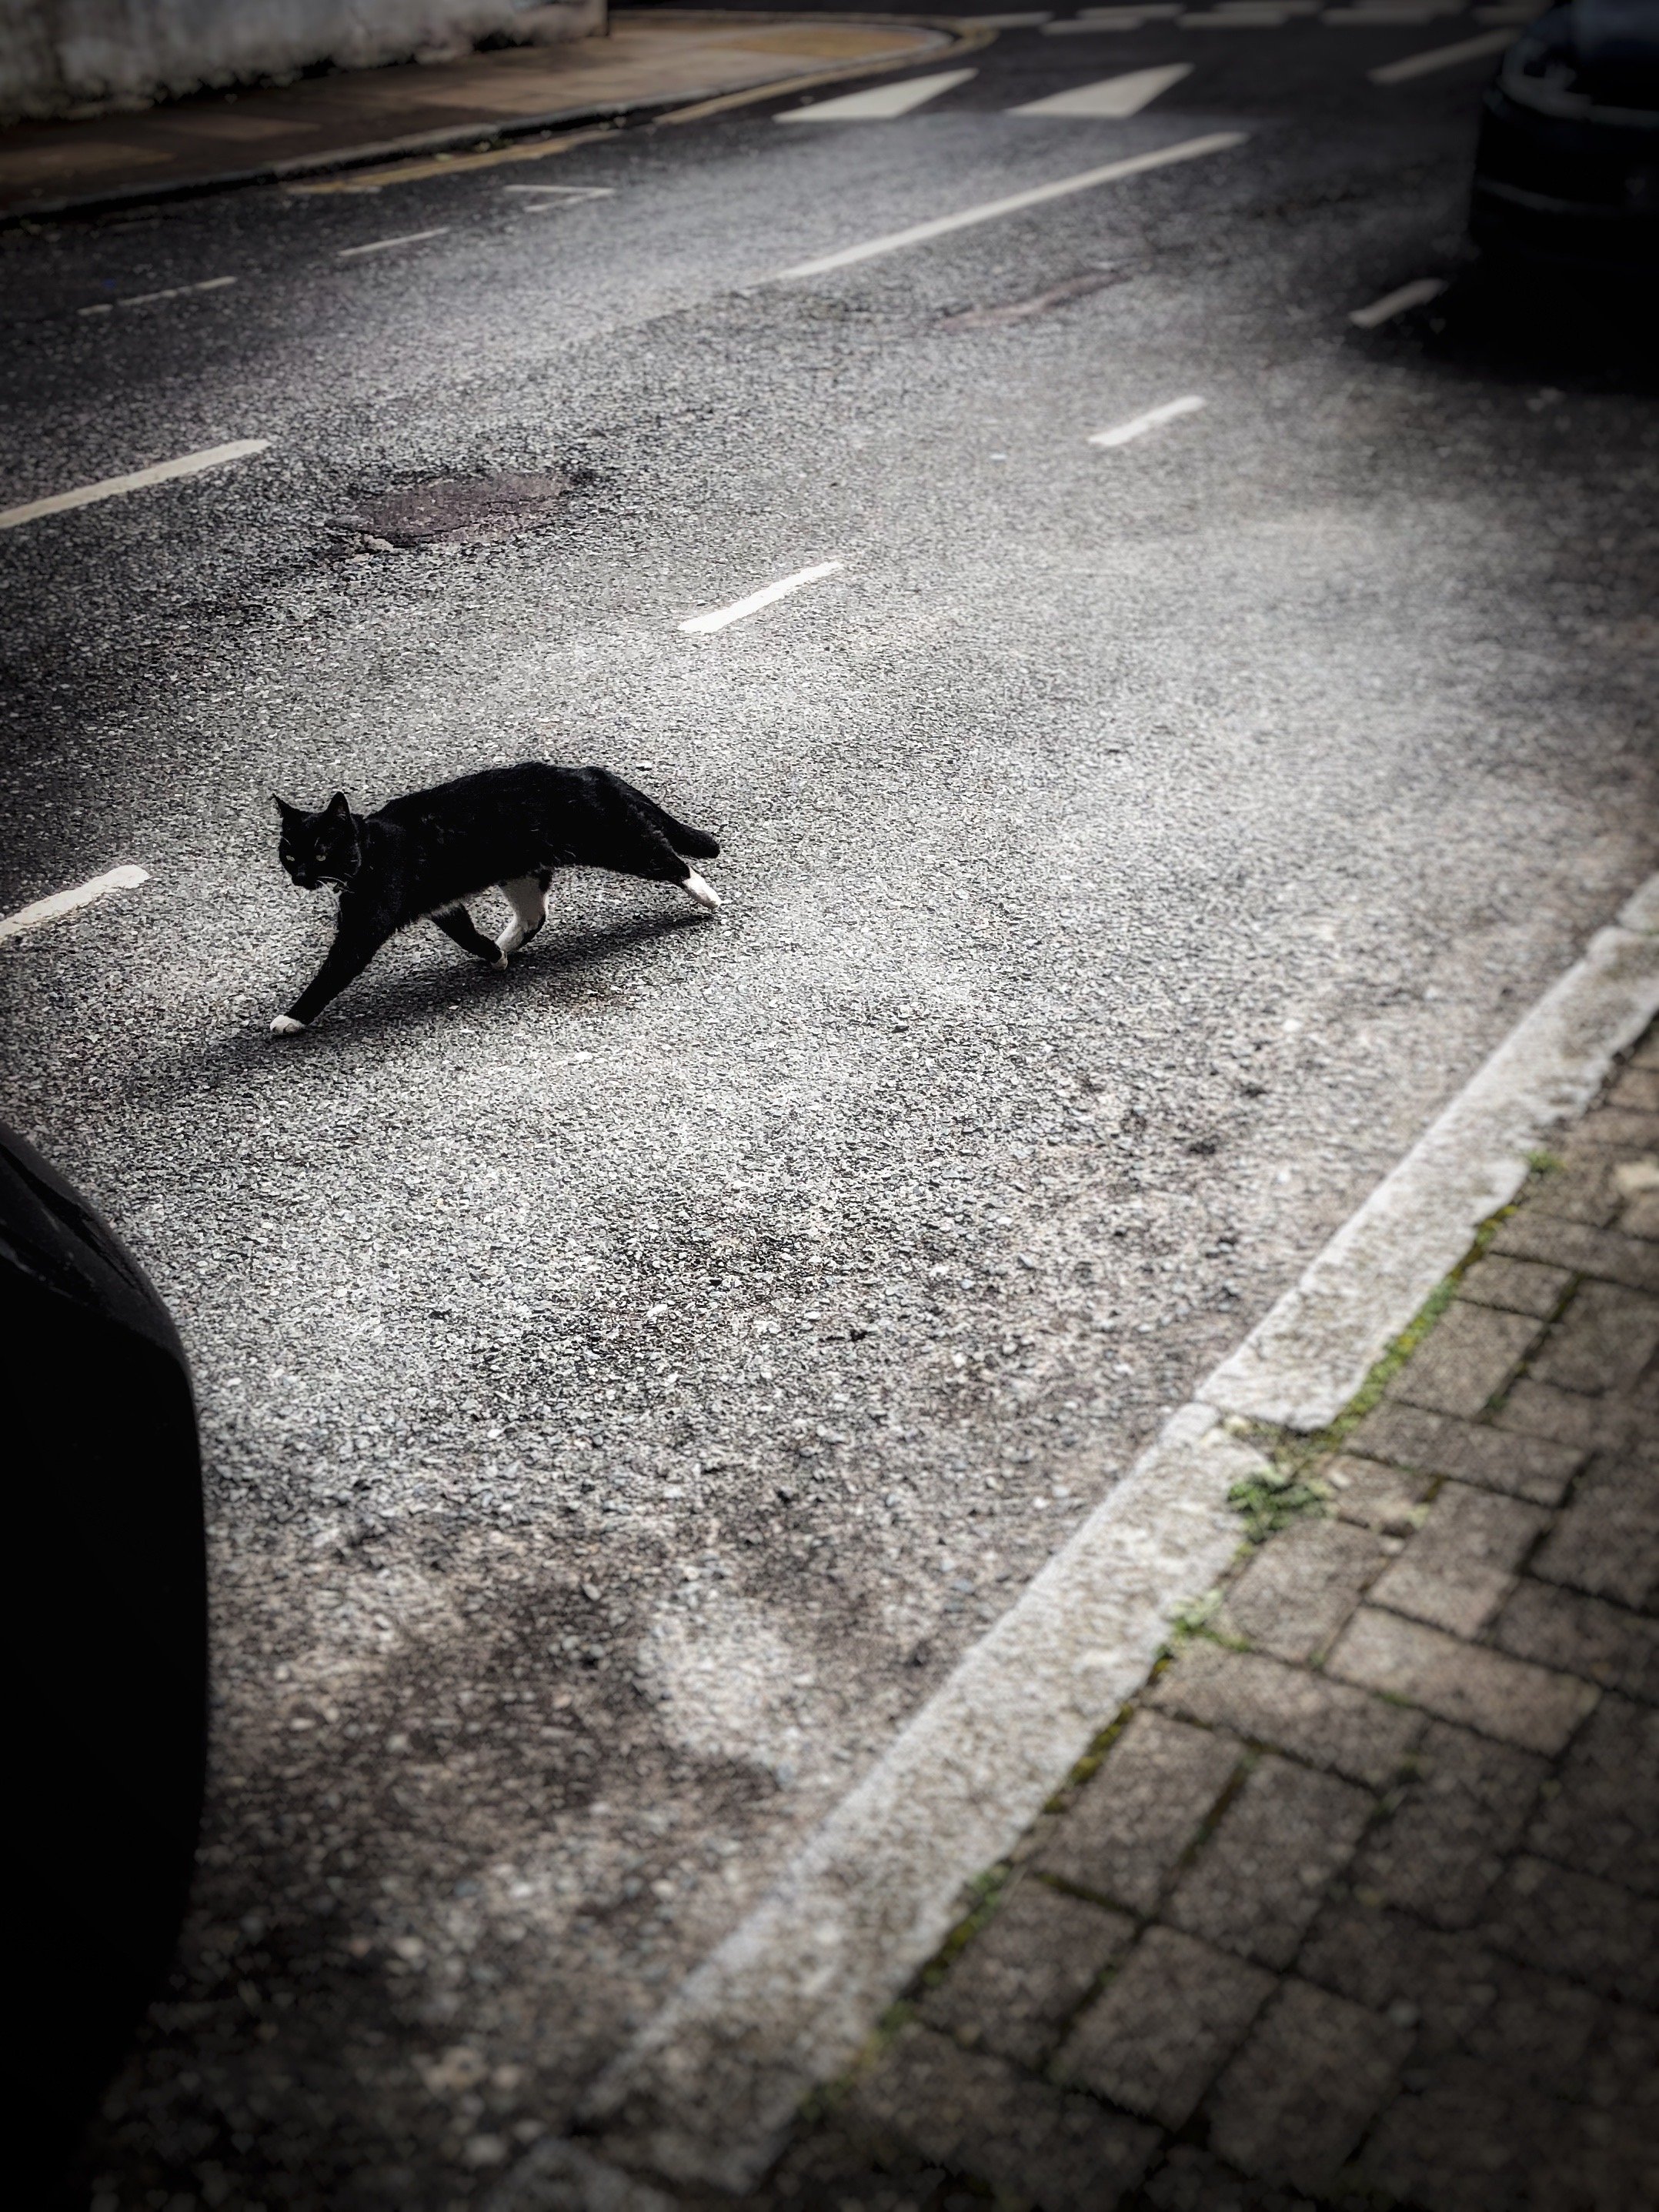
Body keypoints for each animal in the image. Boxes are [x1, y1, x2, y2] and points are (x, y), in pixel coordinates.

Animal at [269, 762, 720, 1034]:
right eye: (289, 855)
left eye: (321, 853)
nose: (300, 877)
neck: (370, 847)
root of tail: (588, 772)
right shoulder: (444, 906)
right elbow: (466, 934)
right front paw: (492, 954)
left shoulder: (367, 923)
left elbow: (332, 972)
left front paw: (292, 1018)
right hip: (521, 873)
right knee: (534, 917)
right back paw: (505, 946)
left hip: (616, 842)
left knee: (673, 860)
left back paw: (708, 897)